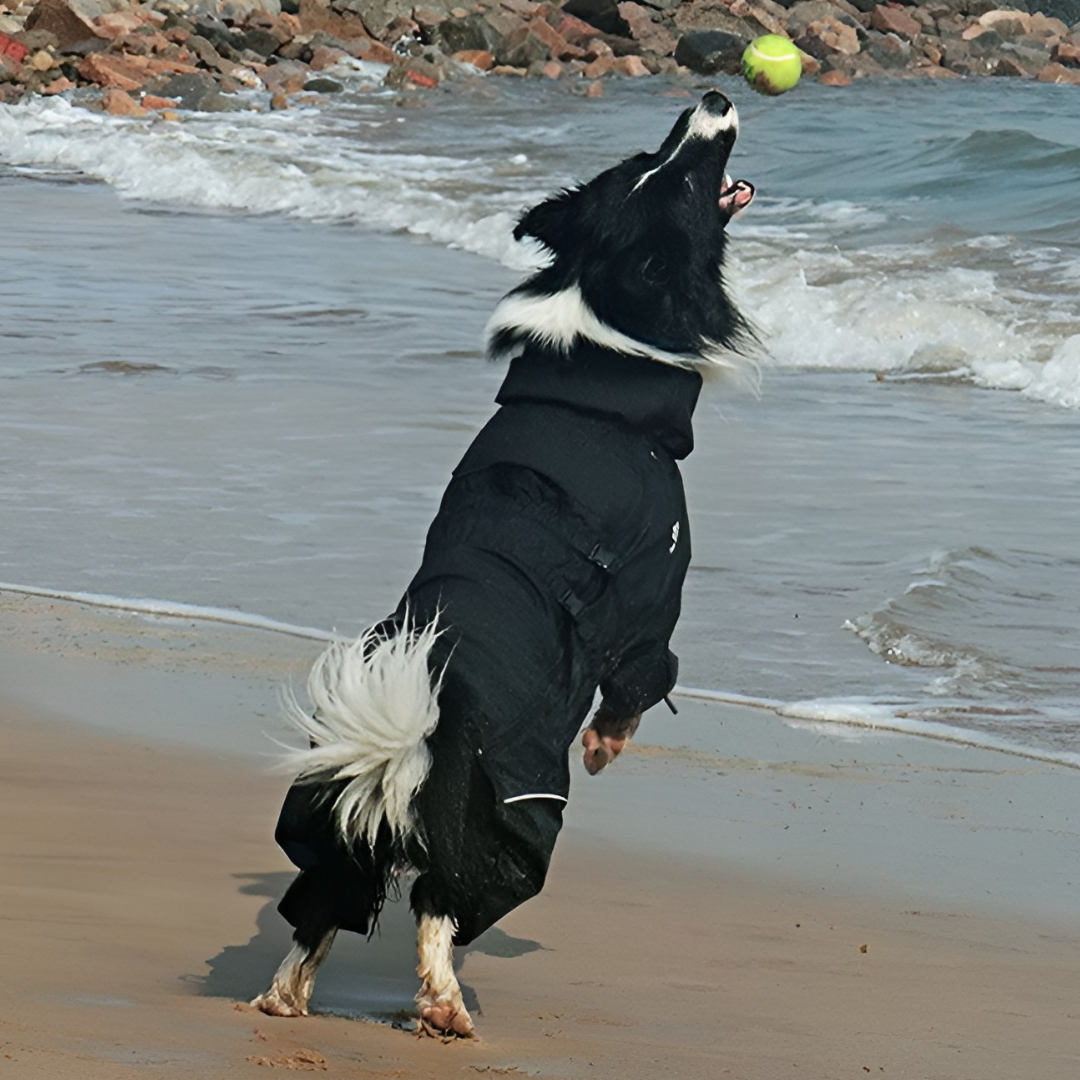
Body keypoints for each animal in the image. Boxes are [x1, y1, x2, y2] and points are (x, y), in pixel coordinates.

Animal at [250, 90, 760, 1036]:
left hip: (329, 816)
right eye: (678, 179)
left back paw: (284, 998)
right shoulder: (653, 587)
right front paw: (606, 744)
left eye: (651, 158)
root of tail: (415, 736)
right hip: (518, 820)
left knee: (320, 908)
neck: (601, 365)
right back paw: (444, 1007)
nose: (708, 98)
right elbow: (641, 674)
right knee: (440, 908)